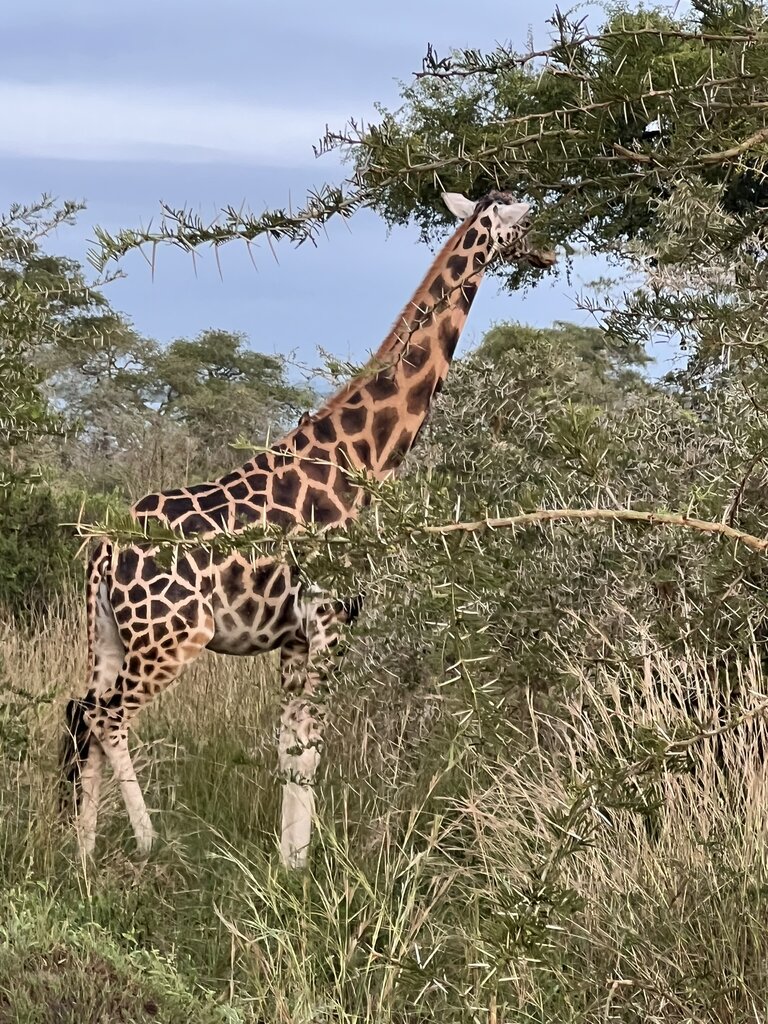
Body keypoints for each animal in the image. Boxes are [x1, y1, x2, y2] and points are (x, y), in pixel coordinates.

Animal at [61, 190, 555, 868]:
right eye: (524, 224)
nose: (548, 253)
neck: (363, 458)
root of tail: (106, 549)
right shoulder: (331, 618)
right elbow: (312, 743)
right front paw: (303, 864)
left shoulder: (294, 637)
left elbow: (291, 745)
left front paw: (288, 863)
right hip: (173, 638)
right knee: (108, 719)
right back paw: (148, 843)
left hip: (110, 636)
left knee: (82, 713)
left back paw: (83, 856)